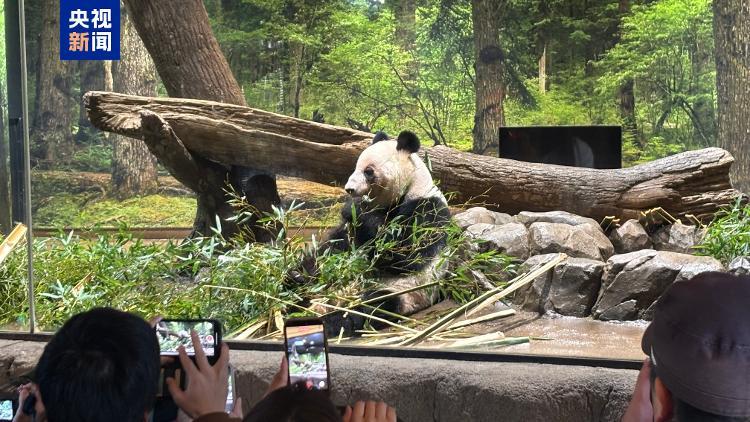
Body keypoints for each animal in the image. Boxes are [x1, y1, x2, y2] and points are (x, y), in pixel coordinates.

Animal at [290, 130, 451, 337]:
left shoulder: (427, 208)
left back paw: (329, 321)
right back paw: (293, 283)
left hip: (404, 291)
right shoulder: (349, 232)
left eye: (368, 171)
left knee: (371, 306)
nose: (349, 189)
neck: (411, 186)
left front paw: (356, 207)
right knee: (305, 275)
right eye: (355, 167)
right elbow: (335, 246)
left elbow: (406, 255)